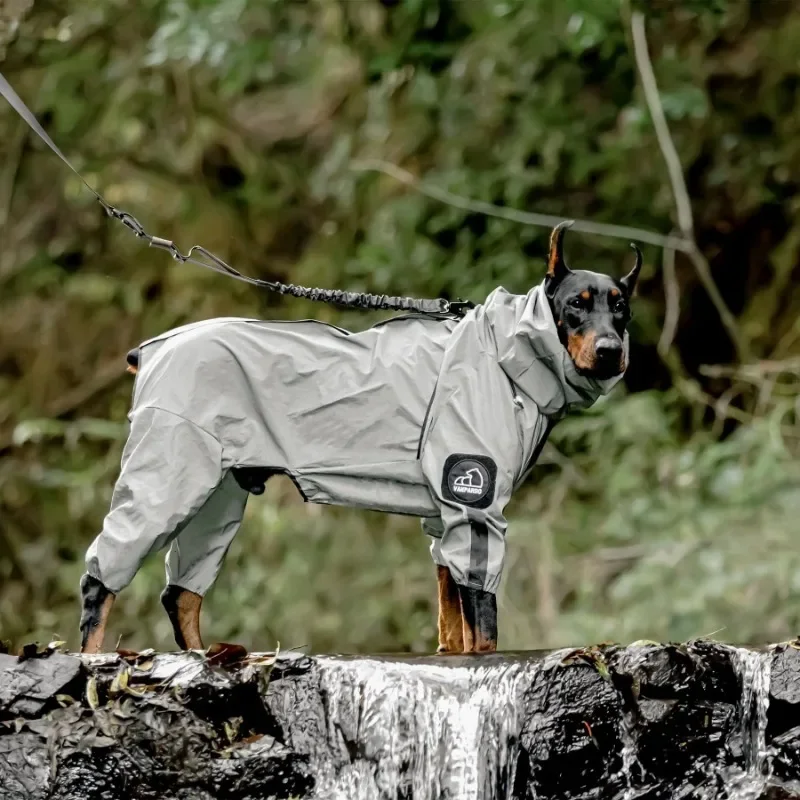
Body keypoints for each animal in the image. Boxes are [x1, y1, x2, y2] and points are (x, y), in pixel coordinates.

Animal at [75, 220, 636, 656]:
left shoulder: (444, 516)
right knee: (101, 579)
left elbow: (452, 620)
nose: (612, 351)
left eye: (620, 307)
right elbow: (483, 624)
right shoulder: (475, 505)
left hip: (219, 491)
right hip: (172, 475)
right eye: (576, 303)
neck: (511, 352)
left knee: (181, 594)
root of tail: (150, 351)